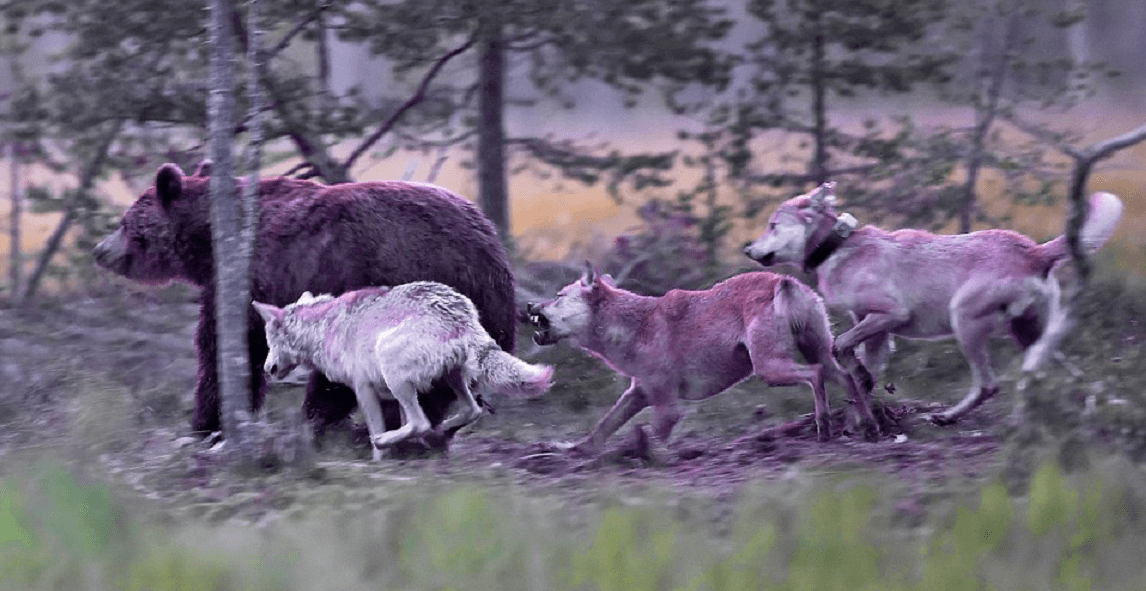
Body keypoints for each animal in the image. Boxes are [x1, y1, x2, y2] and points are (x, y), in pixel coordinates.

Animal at [91, 162, 517, 453]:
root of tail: (493, 253)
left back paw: (342, 429)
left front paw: (206, 424)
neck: (208, 243)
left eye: (126, 222)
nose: (99, 250)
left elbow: (225, 349)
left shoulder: (251, 275)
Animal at [252, 282, 554, 462]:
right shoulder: (390, 396)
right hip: (451, 377)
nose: (267, 369)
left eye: (270, 341)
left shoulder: (364, 389)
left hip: (393, 370)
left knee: (421, 423)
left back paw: (401, 438)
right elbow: (404, 424)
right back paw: (439, 432)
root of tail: (462, 316)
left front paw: (379, 461)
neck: (324, 327)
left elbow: (379, 431)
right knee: (470, 411)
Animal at [524, 263, 875, 458]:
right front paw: (567, 450)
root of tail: (782, 281)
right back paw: (868, 426)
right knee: (848, 378)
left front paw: (630, 453)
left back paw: (824, 425)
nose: (528, 305)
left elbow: (646, 438)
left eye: (557, 296)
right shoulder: (638, 394)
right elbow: (599, 430)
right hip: (817, 356)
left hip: (770, 369)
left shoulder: (667, 407)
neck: (633, 326)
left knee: (815, 376)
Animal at [742, 180, 1127, 423]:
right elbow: (859, 367)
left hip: (966, 323)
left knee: (989, 385)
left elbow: (841, 346)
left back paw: (950, 417)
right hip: (1028, 334)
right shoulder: (875, 331)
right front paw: (861, 408)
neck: (836, 248)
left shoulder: (890, 314)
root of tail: (1033, 252)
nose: (747, 249)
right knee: (1068, 374)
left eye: (773, 224)